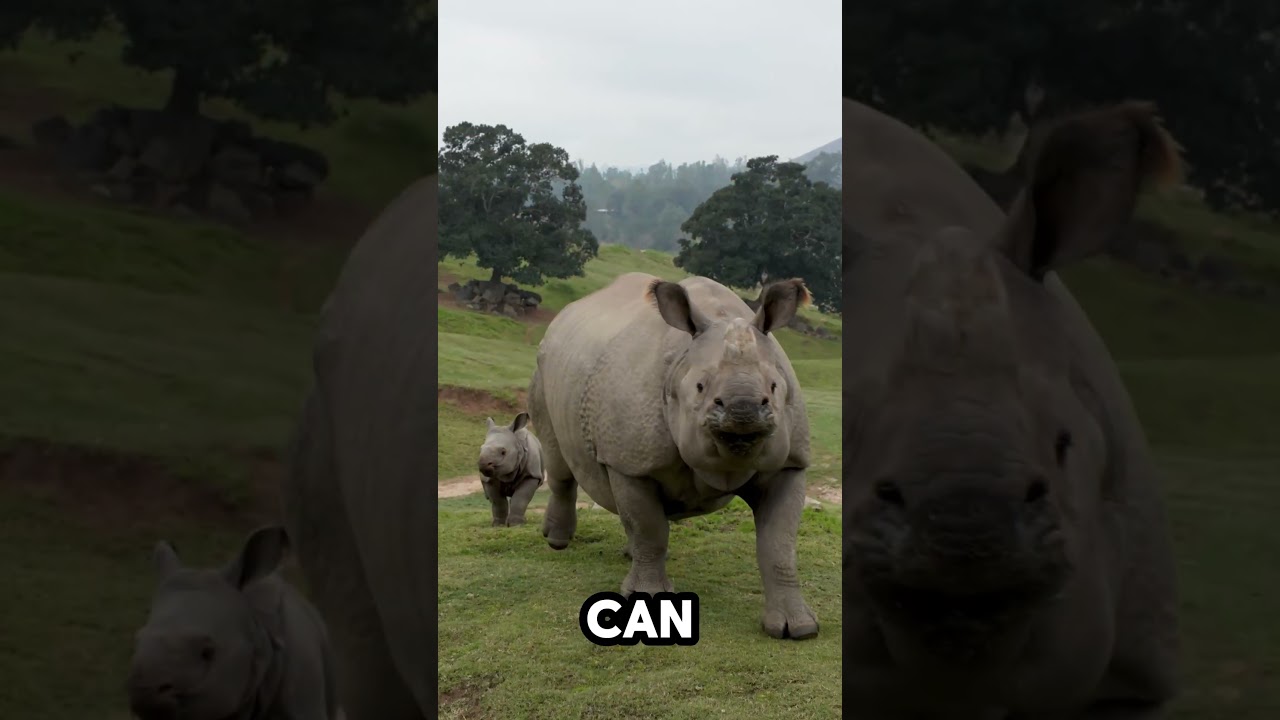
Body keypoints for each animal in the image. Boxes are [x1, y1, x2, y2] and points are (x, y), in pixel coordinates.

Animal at [529, 272, 819, 640]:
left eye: (774, 387)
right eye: (700, 387)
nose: (743, 410)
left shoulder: (789, 464)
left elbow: (780, 545)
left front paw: (799, 628)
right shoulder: (629, 462)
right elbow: (649, 527)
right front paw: (647, 602)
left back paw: (628, 555)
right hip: (543, 368)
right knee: (559, 462)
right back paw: (557, 542)